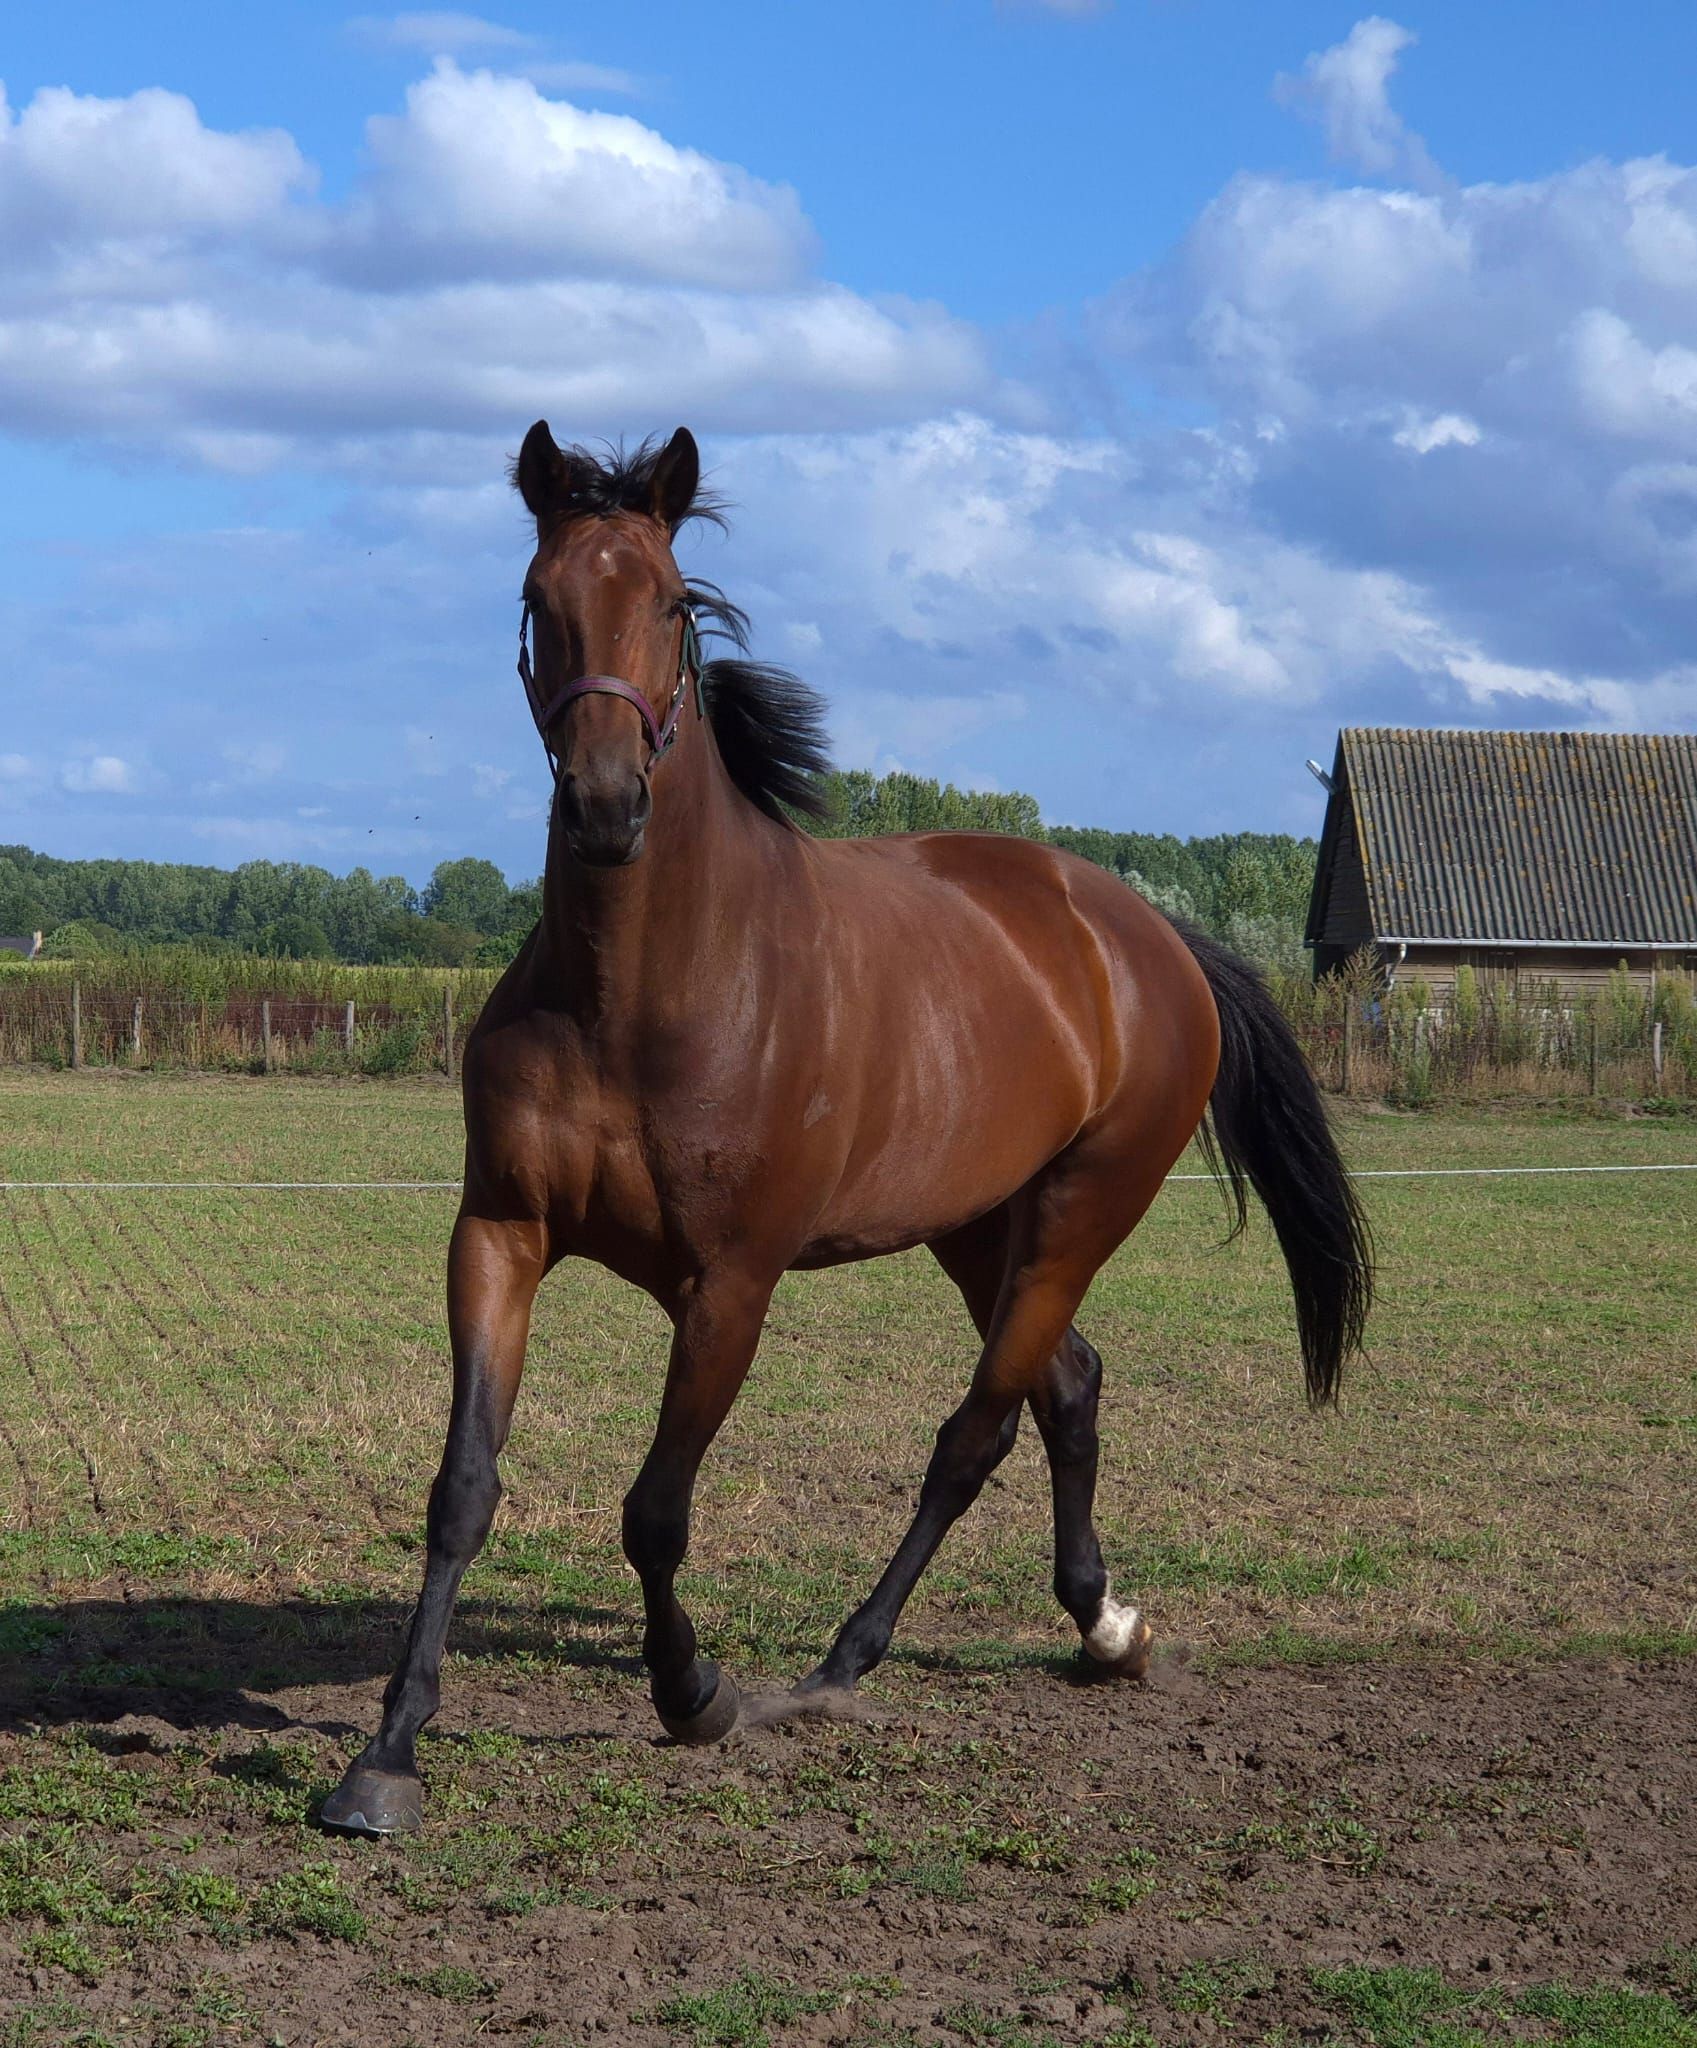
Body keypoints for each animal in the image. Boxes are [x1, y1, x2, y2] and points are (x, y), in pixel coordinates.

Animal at [321, 424, 1371, 1835]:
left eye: (672, 604)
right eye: (541, 603)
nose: (604, 804)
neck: (636, 993)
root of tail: (1150, 936)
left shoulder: (730, 1285)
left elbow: (655, 1511)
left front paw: (694, 1693)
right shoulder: (499, 1234)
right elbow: (462, 1489)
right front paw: (386, 1755)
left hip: (1076, 1214)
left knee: (976, 1431)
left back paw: (843, 1660)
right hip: (977, 1228)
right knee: (1068, 1386)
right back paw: (1104, 1625)